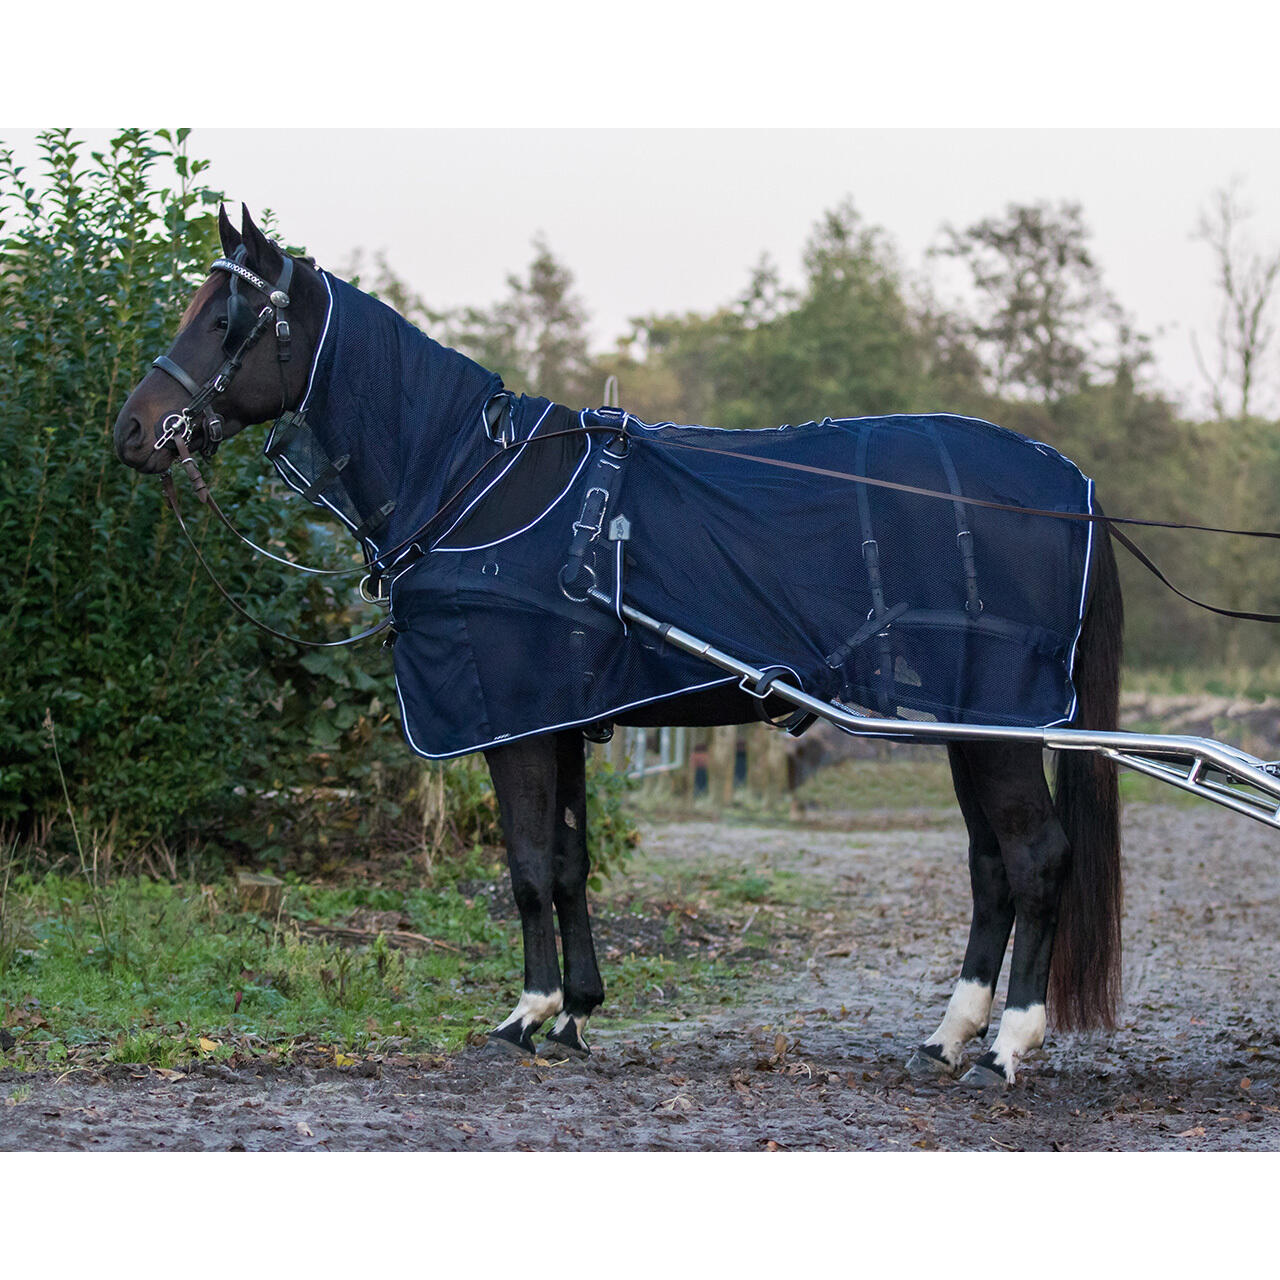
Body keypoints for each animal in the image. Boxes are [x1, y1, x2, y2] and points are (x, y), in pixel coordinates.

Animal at [113, 205, 1124, 1086]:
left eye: (222, 319)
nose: (132, 430)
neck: (473, 483)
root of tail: (1069, 482)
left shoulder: (511, 720)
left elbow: (525, 869)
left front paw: (526, 1014)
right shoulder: (557, 716)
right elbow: (567, 866)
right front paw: (576, 1013)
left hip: (995, 724)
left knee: (1037, 860)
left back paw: (1008, 1045)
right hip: (965, 726)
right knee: (991, 868)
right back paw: (950, 1035)